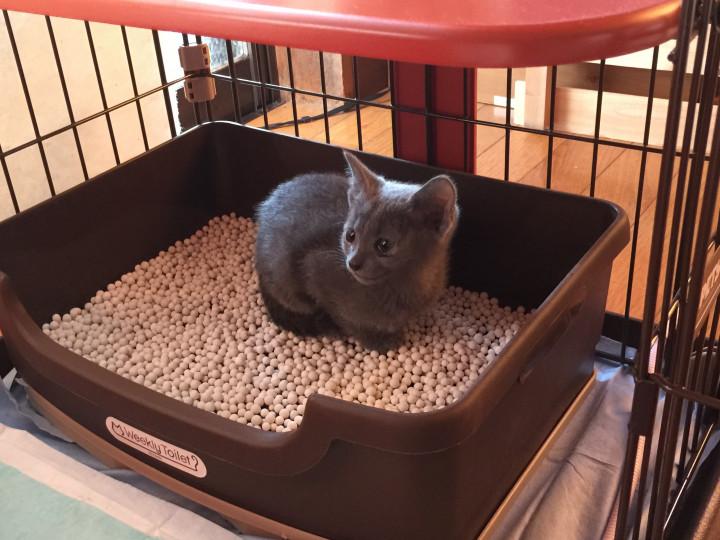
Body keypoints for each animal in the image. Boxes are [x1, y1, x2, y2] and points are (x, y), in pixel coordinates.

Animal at [254, 150, 459, 352]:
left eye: (384, 244)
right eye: (350, 235)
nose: (353, 262)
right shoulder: (315, 267)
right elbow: (347, 319)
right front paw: (378, 340)